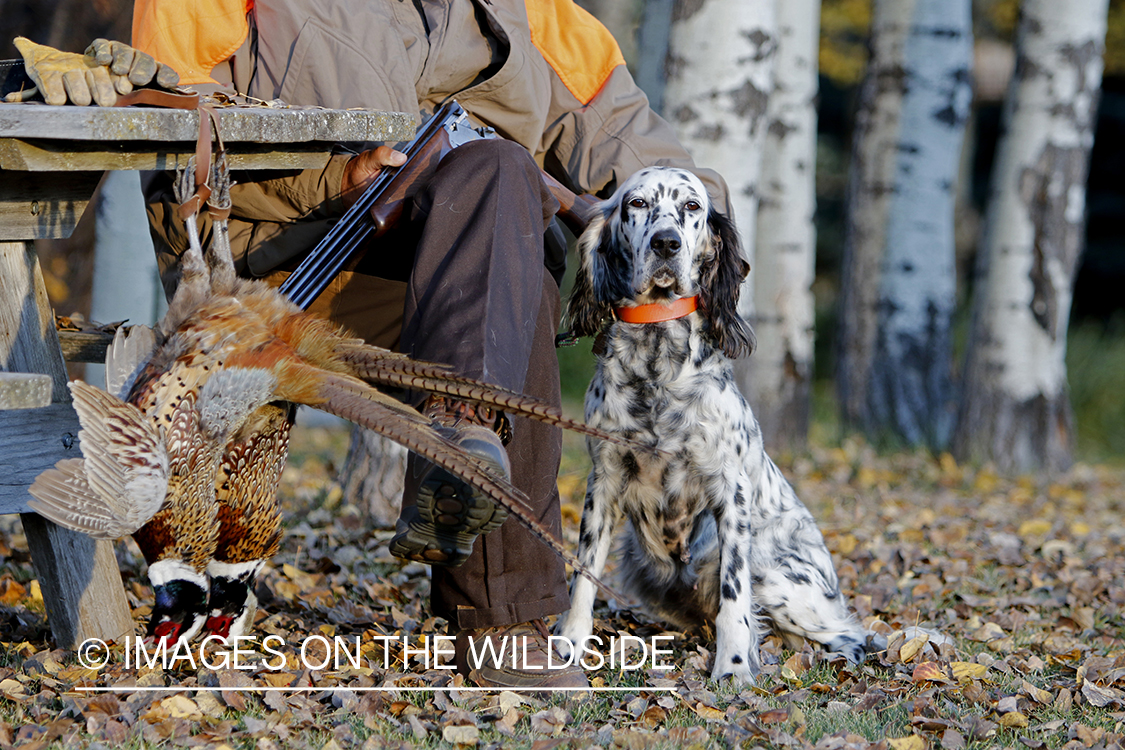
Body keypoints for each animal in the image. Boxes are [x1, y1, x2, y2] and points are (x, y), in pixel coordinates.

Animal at [558, 167, 864, 683]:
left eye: (692, 207)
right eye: (636, 203)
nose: (665, 243)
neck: (657, 356)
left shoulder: (731, 490)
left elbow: (733, 597)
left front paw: (734, 667)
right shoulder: (604, 478)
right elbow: (585, 570)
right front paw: (571, 643)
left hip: (778, 576)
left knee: (852, 634)